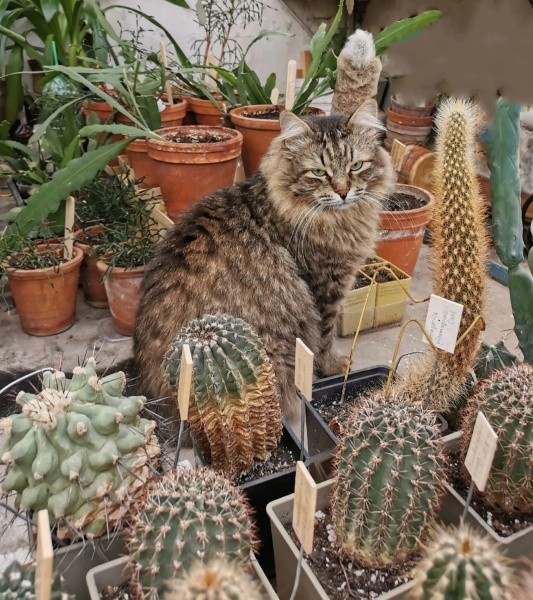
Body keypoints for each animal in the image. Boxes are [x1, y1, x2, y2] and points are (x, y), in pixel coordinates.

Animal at [133, 98, 395, 421]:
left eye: (356, 166)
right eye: (318, 173)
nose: (343, 192)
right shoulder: (325, 287)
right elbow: (324, 337)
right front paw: (332, 367)